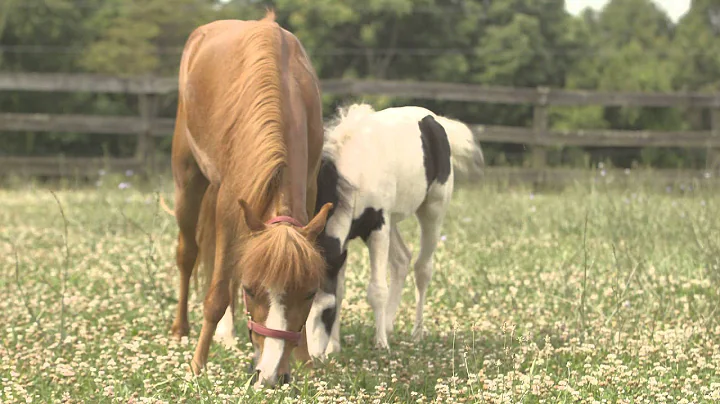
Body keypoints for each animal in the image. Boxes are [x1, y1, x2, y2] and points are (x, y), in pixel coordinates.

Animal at [167, 11, 332, 386]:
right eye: (251, 290)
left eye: (309, 292)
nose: (272, 376)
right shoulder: (230, 206)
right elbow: (216, 295)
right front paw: (197, 365)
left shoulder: (308, 195)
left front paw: (305, 363)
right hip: (188, 181)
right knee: (188, 254)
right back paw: (182, 329)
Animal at [298, 102, 484, 358]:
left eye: (327, 310)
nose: (313, 357)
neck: (355, 170)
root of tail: (435, 119)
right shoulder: (345, 241)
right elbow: (341, 287)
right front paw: (334, 347)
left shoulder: (378, 228)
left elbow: (376, 290)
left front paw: (381, 344)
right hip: (394, 220)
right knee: (402, 260)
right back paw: (388, 324)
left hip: (432, 211)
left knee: (423, 268)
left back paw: (416, 332)